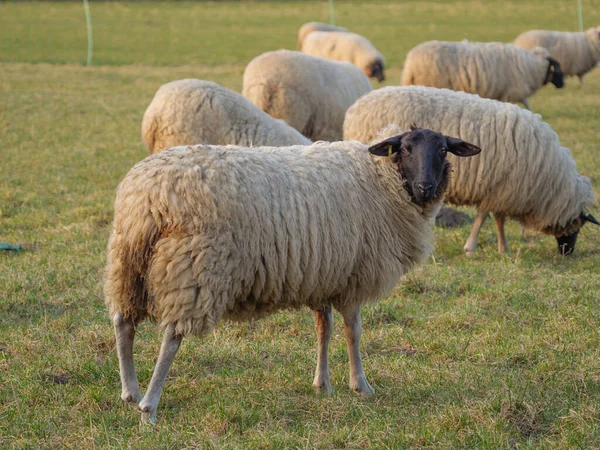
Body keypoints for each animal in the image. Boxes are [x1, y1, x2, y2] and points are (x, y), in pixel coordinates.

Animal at [102, 125, 478, 422]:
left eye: (442, 149)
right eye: (406, 149)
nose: (426, 187)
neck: (383, 180)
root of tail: (148, 195)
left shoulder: (323, 275)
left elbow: (324, 329)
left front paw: (322, 383)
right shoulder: (353, 277)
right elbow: (353, 332)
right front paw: (361, 384)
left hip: (128, 263)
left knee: (123, 323)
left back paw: (130, 391)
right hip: (193, 269)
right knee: (170, 339)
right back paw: (149, 406)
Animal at [342, 83, 600, 253]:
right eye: (578, 224)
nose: (567, 252)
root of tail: (357, 105)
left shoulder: (500, 189)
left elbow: (497, 218)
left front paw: (502, 247)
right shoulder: (499, 188)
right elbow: (485, 216)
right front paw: (473, 246)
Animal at [400, 40, 564, 110]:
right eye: (558, 70)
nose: (563, 85)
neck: (532, 66)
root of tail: (410, 62)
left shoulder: (505, 94)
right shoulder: (512, 93)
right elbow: (527, 105)